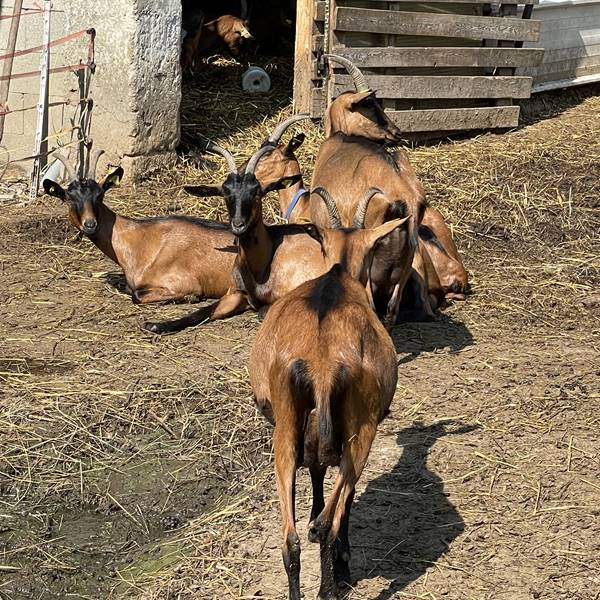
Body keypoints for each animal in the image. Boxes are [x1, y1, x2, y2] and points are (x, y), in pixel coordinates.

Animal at [248, 219, 404, 600]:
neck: (337, 275)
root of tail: (322, 362)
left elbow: (317, 480)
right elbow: (340, 500)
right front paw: (342, 568)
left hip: (286, 432)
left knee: (291, 538)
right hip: (362, 431)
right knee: (328, 521)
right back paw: (331, 582)